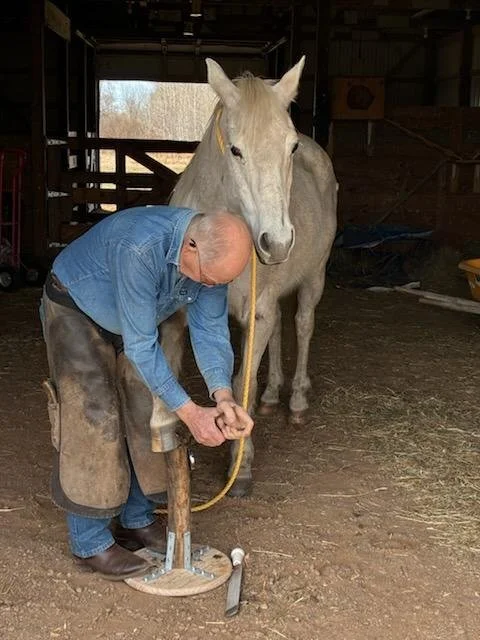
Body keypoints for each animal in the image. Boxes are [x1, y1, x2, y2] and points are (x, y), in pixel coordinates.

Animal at [161, 57, 337, 496]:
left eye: (291, 147)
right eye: (236, 150)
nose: (276, 242)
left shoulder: (256, 311)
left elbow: (242, 382)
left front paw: (240, 467)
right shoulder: (177, 316)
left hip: (314, 276)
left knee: (302, 324)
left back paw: (295, 402)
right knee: (279, 333)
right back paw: (272, 396)